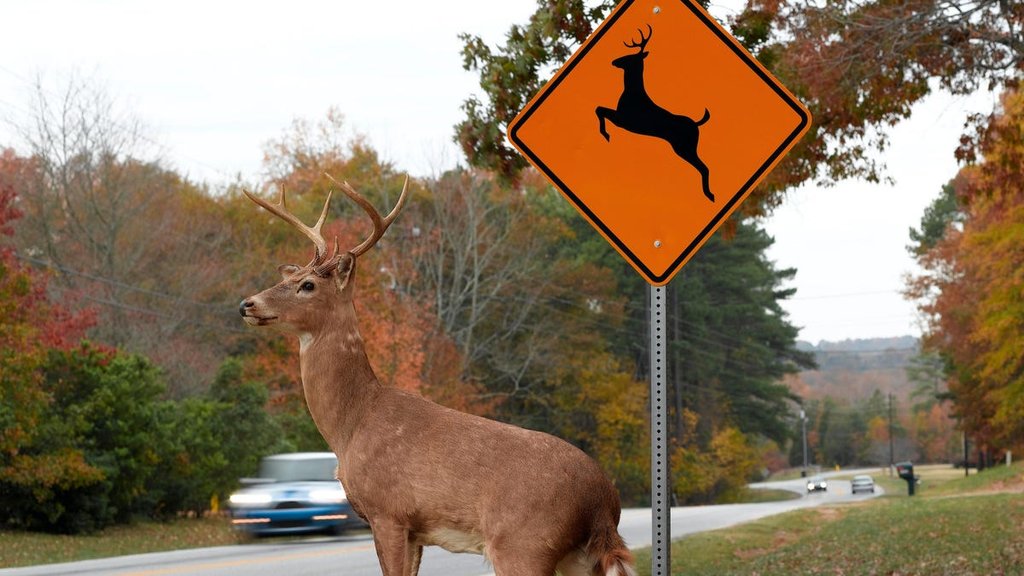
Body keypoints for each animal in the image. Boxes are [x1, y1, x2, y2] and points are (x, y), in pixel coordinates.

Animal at [240, 176, 634, 573]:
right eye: (293, 277)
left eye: (308, 285)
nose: (247, 304)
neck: (352, 424)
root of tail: (603, 500)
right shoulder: (416, 532)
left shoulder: (388, 512)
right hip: (576, 557)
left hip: (523, 543)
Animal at [598, 25, 716, 203]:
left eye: (630, 56)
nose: (614, 61)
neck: (632, 92)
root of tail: (696, 124)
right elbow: (599, 109)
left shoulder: (624, 120)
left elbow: (599, 109)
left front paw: (606, 134)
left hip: (685, 147)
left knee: (704, 167)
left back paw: (710, 195)